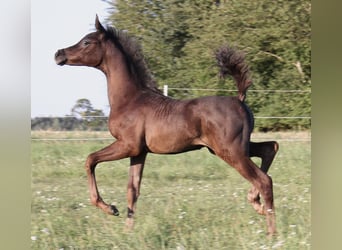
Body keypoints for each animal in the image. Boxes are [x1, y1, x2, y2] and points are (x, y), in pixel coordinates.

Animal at [53, 16, 278, 236]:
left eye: (86, 42)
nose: (58, 54)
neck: (130, 99)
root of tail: (239, 99)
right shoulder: (139, 152)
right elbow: (132, 189)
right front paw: (128, 231)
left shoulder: (127, 145)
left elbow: (90, 160)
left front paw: (110, 208)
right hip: (234, 147)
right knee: (270, 148)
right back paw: (256, 202)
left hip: (230, 150)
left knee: (264, 179)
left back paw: (271, 232)